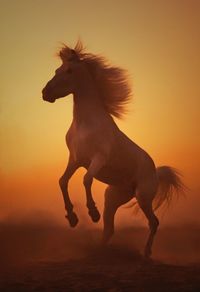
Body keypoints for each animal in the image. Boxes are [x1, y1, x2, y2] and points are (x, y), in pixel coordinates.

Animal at [42, 40, 184, 258]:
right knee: (109, 229)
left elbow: (86, 179)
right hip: (113, 198)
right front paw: (72, 218)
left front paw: (92, 213)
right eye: (57, 69)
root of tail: (156, 171)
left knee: (154, 222)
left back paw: (146, 253)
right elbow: (62, 181)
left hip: (143, 197)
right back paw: (100, 251)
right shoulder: (75, 159)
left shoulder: (98, 158)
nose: (45, 93)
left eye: (69, 70)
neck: (86, 123)